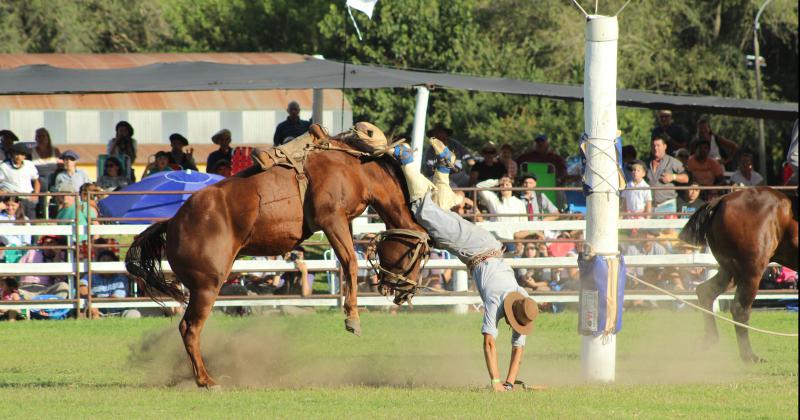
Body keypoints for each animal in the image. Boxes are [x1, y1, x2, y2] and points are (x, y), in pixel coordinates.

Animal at [126, 132, 424, 388]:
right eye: (417, 254)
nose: (406, 291)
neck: (354, 168)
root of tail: (173, 222)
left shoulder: (342, 222)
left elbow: (346, 260)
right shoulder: (331, 218)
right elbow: (350, 261)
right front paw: (352, 319)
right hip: (207, 286)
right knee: (190, 328)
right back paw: (206, 381)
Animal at [680, 187, 796, 360]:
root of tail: (721, 200)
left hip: (731, 271)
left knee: (705, 291)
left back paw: (710, 341)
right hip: (751, 271)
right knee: (739, 309)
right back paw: (749, 356)